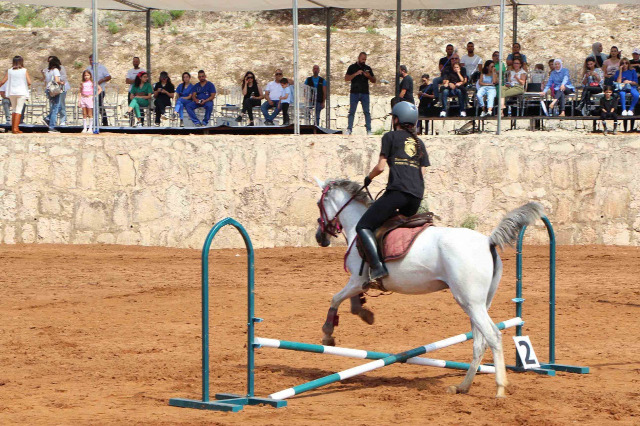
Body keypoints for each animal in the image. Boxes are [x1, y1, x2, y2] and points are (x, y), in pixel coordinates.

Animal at [316, 178, 544, 398]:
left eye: (319, 204)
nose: (320, 238)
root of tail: (488, 241)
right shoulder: (359, 282)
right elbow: (352, 301)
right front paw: (365, 313)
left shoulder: (356, 279)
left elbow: (335, 298)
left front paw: (328, 334)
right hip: (479, 304)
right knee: (480, 342)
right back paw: (463, 387)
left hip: (470, 302)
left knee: (493, 336)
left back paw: (499, 388)